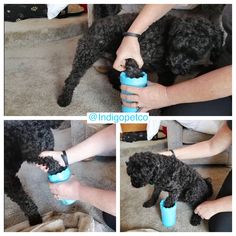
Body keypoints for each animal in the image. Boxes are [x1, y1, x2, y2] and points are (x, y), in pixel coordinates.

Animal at [57, 12, 223, 106]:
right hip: (86, 55)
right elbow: (134, 76)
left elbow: (165, 86)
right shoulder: (135, 58)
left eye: (195, 55)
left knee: (112, 73)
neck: (164, 39)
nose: (176, 66)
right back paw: (64, 98)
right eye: (177, 46)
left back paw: (117, 86)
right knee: (72, 78)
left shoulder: (166, 72)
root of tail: (95, 23)